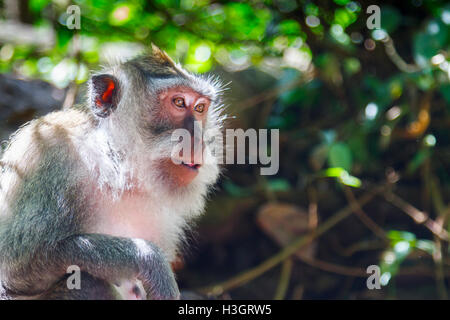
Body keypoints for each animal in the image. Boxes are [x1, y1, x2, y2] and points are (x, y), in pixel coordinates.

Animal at [0, 45, 225, 300]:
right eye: (178, 102)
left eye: (200, 108)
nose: (198, 139)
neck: (118, 165)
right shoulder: (52, 156)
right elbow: (16, 267)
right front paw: (150, 260)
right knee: (86, 281)